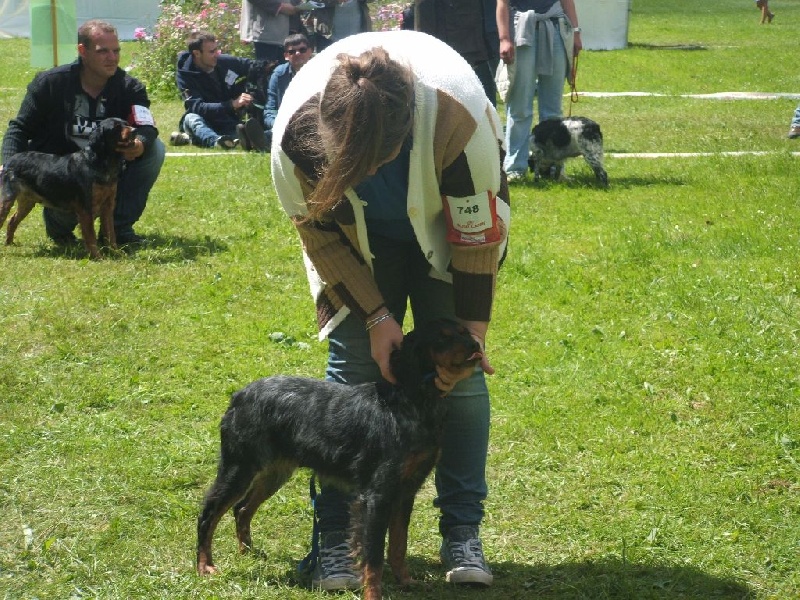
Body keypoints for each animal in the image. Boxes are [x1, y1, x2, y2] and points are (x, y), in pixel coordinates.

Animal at [0, 117, 135, 259]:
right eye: (116, 127)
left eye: (126, 123)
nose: (135, 131)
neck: (99, 163)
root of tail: (10, 160)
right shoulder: (86, 208)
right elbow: (91, 236)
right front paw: (98, 257)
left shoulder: (108, 206)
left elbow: (111, 233)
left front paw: (117, 253)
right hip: (8, 199)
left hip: (27, 202)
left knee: (12, 220)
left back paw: (9, 243)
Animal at [196, 319, 483, 600]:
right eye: (442, 337)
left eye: (464, 332)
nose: (475, 345)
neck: (411, 400)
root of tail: (238, 397)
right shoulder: (377, 496)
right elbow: (374, 556)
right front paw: (373, 594)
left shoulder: (405, 492)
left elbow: (398, 544)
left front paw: (406, 581)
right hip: (239, 468)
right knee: (208, 513)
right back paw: (204, 565)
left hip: (274, 473)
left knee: (242, 509)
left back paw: (248, 552)